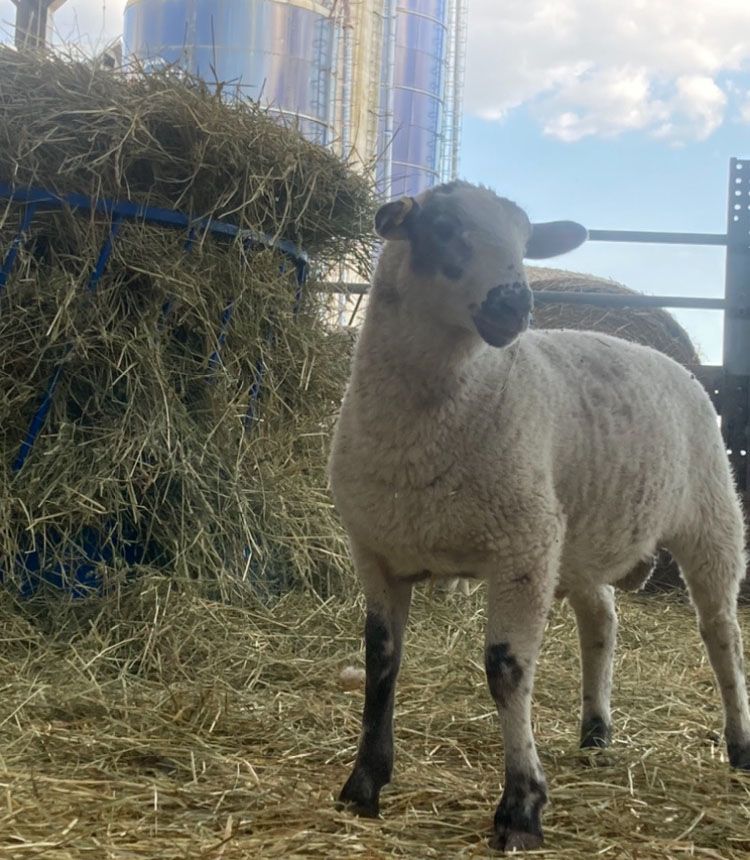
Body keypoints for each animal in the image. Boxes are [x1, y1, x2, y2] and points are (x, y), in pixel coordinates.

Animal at [328, 180, 750, 852]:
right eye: (441, 228)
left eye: (526, 242)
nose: (516, 304)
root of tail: (672, 362)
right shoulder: (377, 553)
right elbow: (380, 662)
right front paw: (363, 784)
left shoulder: (520, 549)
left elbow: (506, 670)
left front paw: (521, 807)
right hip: (578, 536)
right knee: (601, 620)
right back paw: (596, 732)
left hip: (710, 517)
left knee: (721, 635)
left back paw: (739, 745)